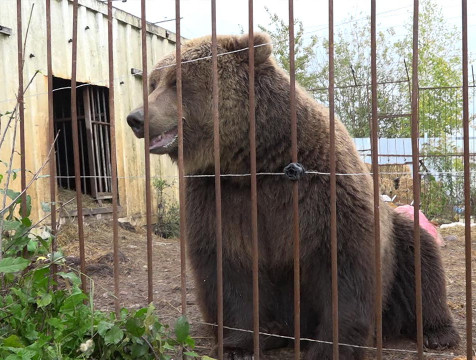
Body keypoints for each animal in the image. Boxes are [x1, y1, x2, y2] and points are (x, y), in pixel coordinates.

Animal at [125, 32, 458, 358]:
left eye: (177, 82)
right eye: (154, 83)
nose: (136, 118)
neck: (253, 161)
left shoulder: (323, 187)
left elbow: (345, 262)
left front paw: (332, 349)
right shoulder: (219, 195)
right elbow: (228, 265)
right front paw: (239, 345)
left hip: (399, 241)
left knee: (421, 256)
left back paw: (438, 332)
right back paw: (273, 333)